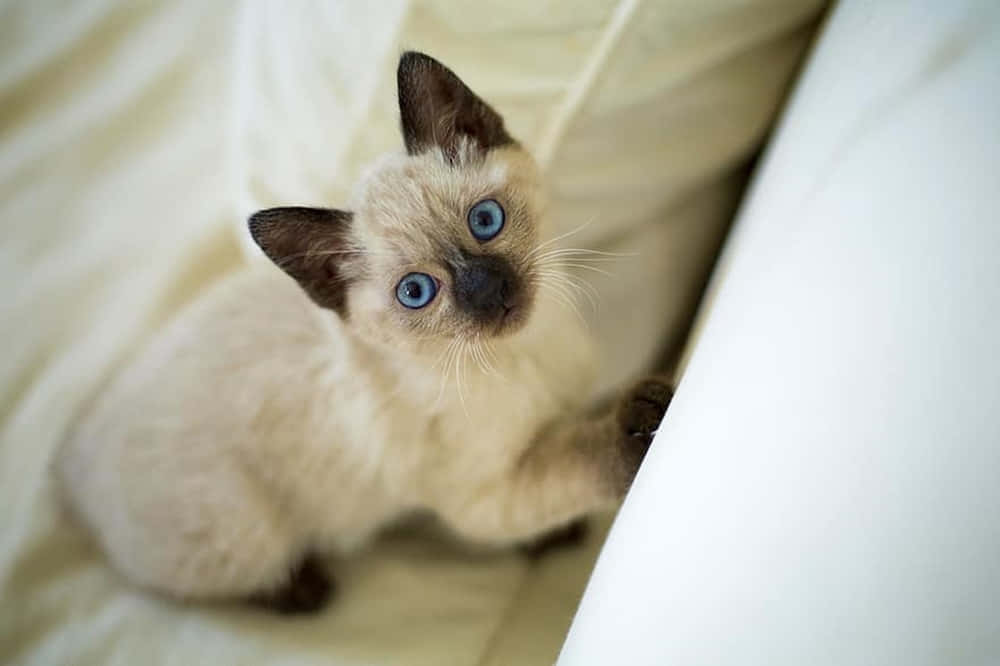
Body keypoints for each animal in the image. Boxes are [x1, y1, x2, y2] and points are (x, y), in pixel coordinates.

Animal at [58, 50, 676, 612]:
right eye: (416, 292)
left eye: (485, 221)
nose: (488, 292)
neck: (526, 351)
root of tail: (73, 462)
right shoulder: (487, 497)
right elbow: (576, 462)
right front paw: (639, 427)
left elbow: (564, 443)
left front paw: (557, 532)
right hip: (243, 531)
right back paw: (305, 589)